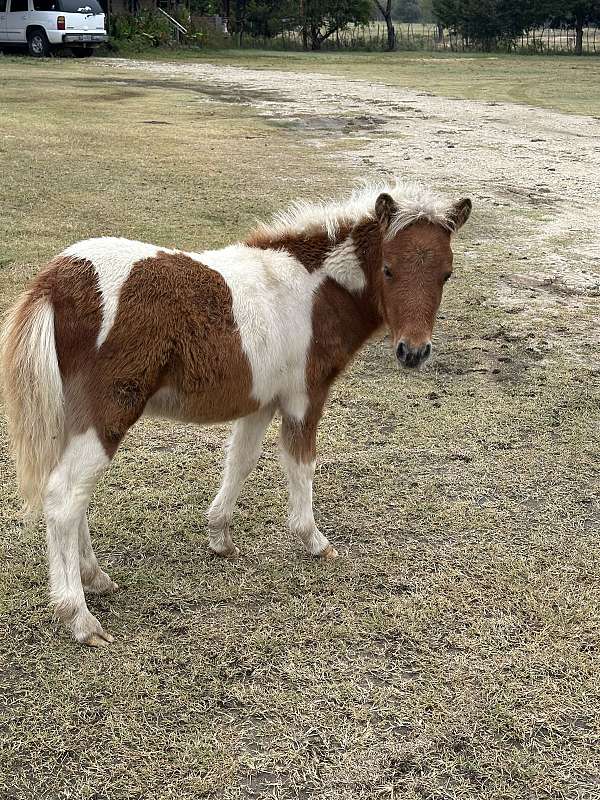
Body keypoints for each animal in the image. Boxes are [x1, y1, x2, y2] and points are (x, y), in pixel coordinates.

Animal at [0, 181, 471, 646]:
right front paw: (314, 541)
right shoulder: (304, 397)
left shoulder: (261, 401)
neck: (313, 292)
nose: (413, 352)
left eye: (447, 274)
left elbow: (241, 461)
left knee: (72, 494)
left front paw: (219, 536)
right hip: (108, 412)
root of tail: (56, 281)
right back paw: (78, 616)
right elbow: (300, 465)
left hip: (74, 417)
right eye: (388, 269)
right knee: (64, 497)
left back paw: (95, 578)